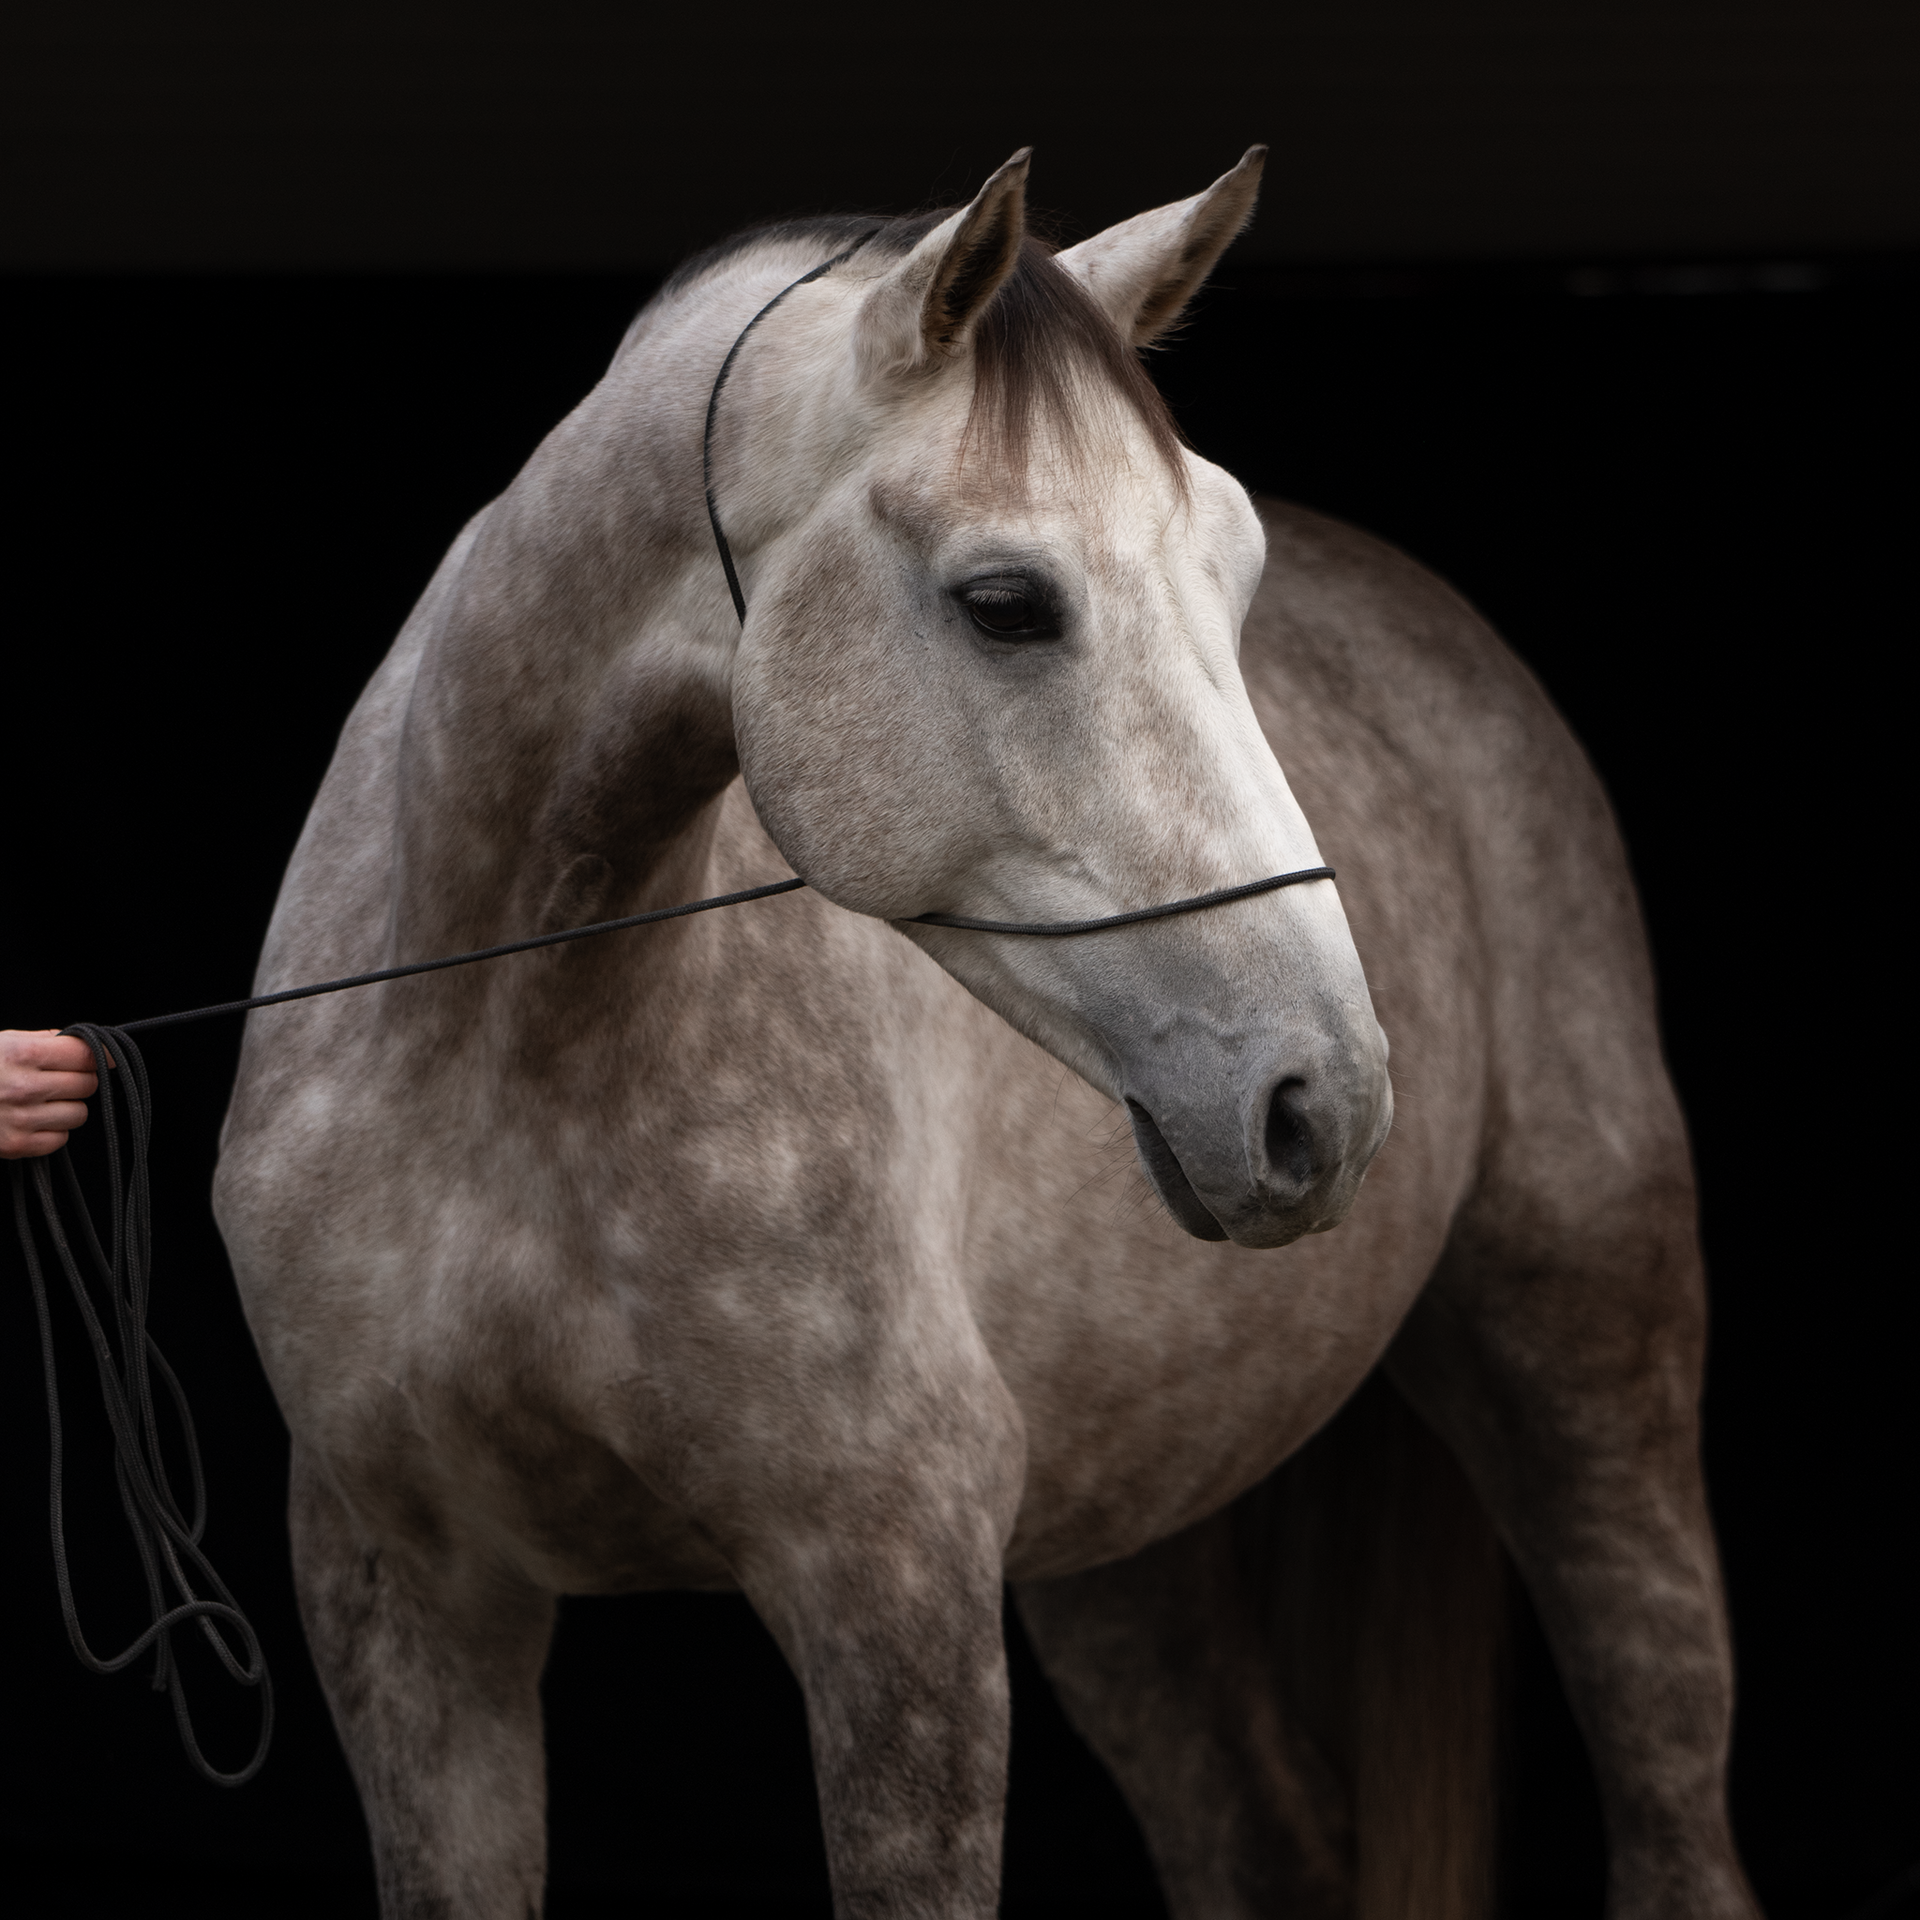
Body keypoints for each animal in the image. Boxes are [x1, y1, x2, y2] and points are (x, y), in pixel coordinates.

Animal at [213, 148, 1759, 1919]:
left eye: (1235, 572)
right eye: (1008, 604)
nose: (1329, 1102)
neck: (502, 1065)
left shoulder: (899, 1600)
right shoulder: (409, 1603)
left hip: (1591, 1382)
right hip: (1129, 1547)